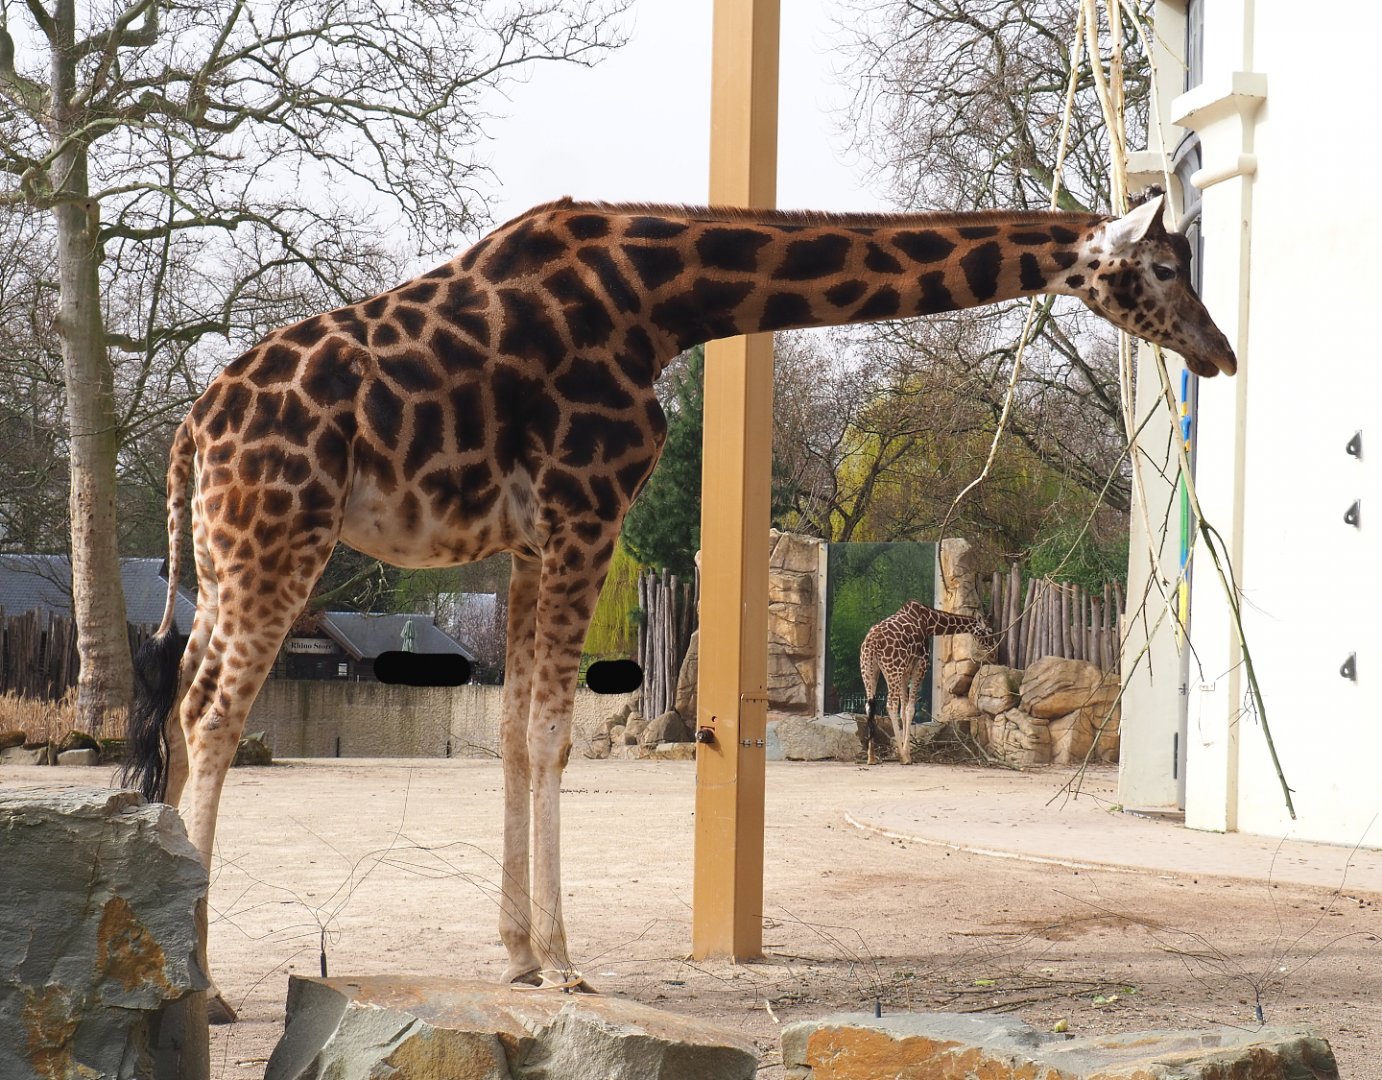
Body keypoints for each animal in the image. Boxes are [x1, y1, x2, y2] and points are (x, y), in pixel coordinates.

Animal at [859, 600, 994, 765]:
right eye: (989, 631)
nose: (993, 646)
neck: (929, 623)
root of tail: (871, 642)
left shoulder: (906, 670)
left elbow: (903, 710)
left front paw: (906, 751)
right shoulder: (920, 664)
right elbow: (910, 709)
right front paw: (907, 755)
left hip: (869, 668)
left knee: (869, 705)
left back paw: (871, 757)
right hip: (893, 669)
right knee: (890, 705)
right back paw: (900, 757)